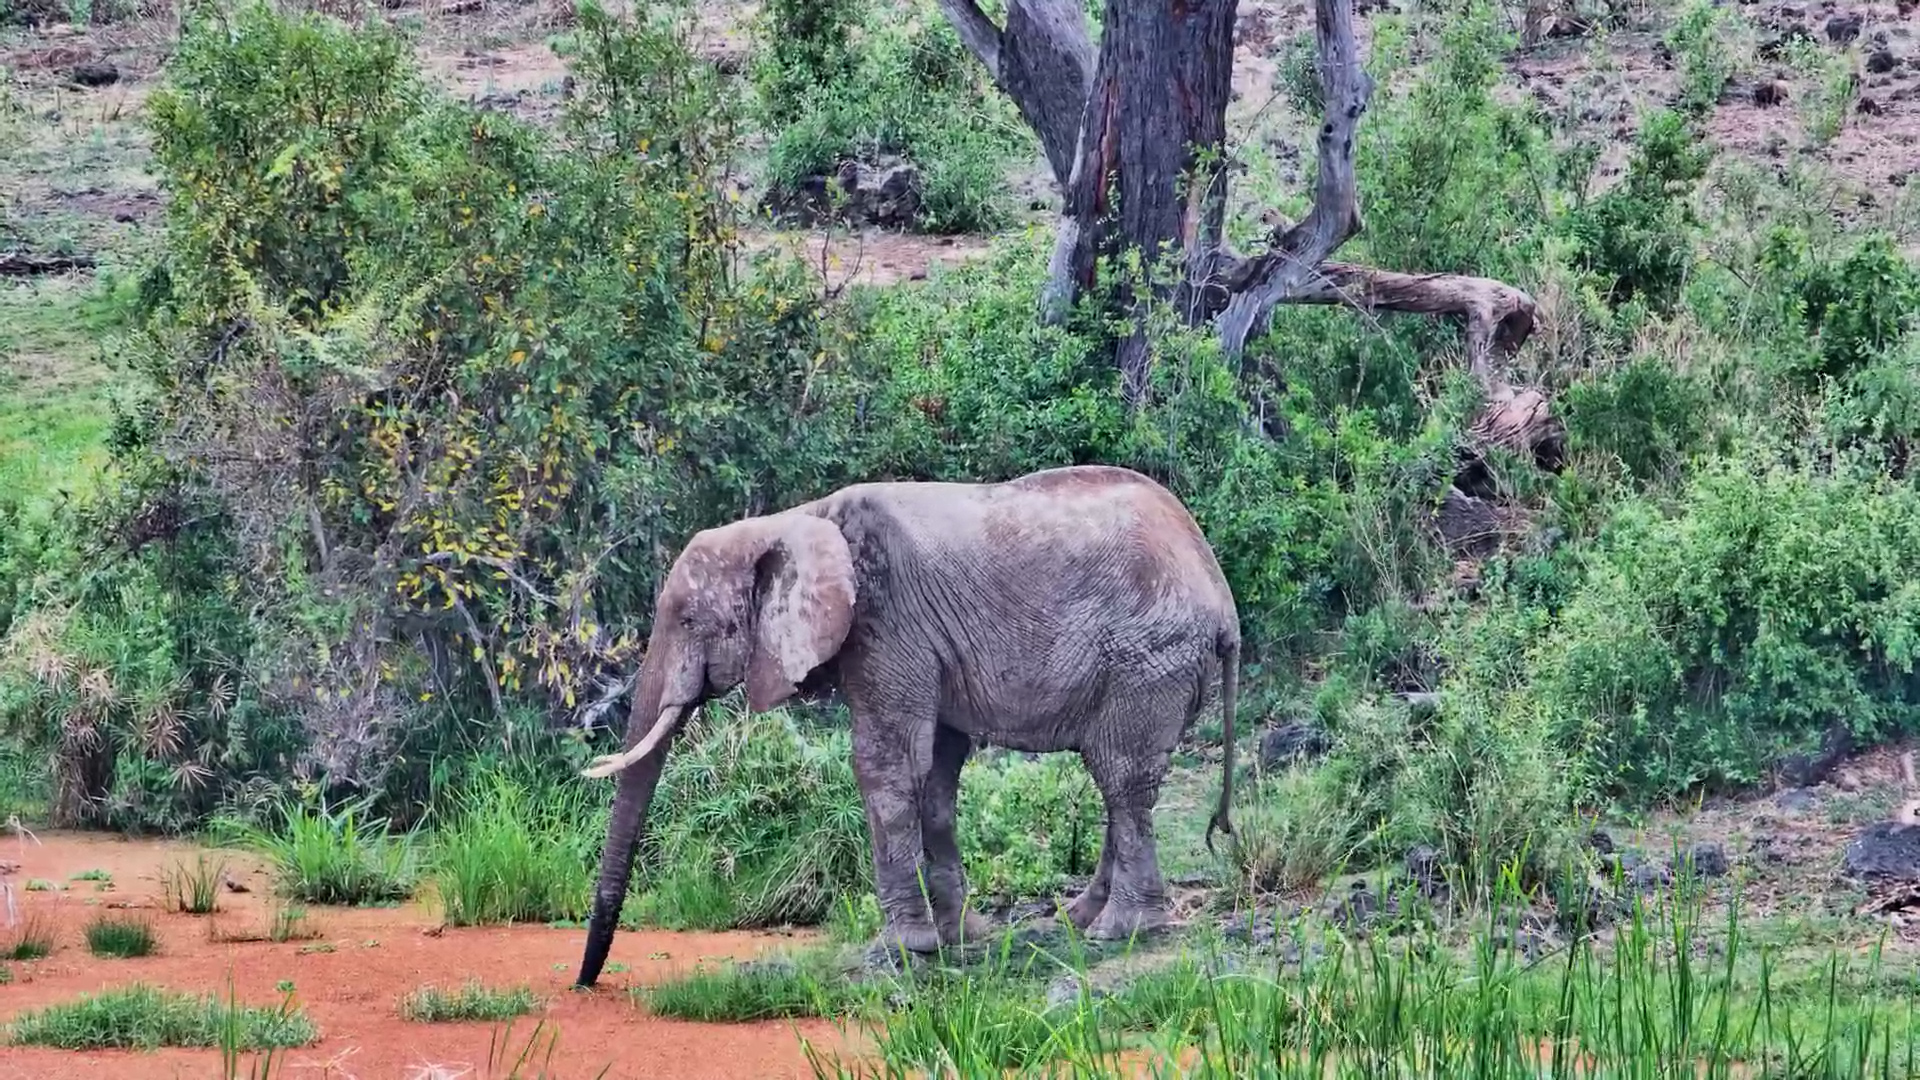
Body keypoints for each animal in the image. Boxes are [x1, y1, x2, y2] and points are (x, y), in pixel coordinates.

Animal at [572, 464, 1240, 988]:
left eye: (688, 620)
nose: (585, 985)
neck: (795, 520)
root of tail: (1221, 594)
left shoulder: (887, 621)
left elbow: (887, 765)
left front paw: (903, 948)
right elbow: (938, 775)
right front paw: (957, 937)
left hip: (1147, 657)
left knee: (1121, 778)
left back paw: (1119, 932)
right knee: (1118, 785)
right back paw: (1074, 921)